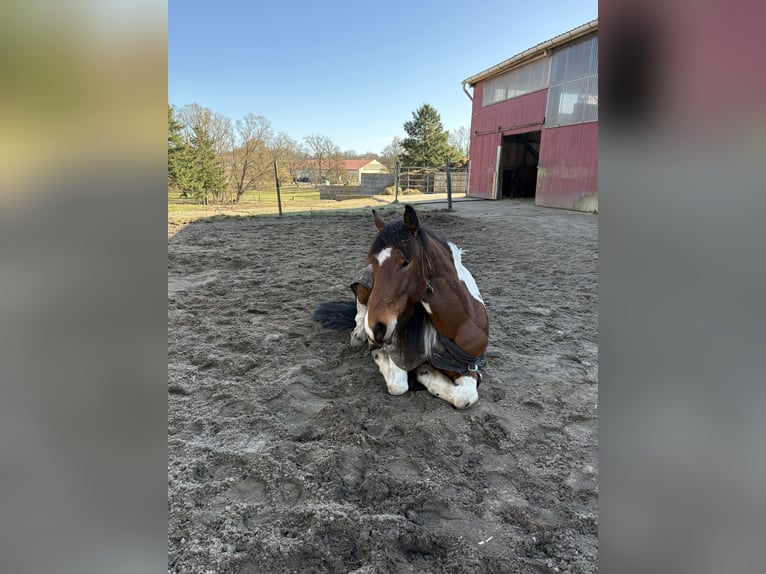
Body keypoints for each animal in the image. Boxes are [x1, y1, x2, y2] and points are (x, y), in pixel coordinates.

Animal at [313, 204, 489, 409]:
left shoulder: (467, 367)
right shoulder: (397, 350)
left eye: (405, 262)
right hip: (364, 287)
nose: (376, 328)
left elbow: (466, 396)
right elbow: (398, 384)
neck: (459, 325)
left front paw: (428, 374)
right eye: (373, 261)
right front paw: (420, 372)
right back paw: (359, 333)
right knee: (360, 308)